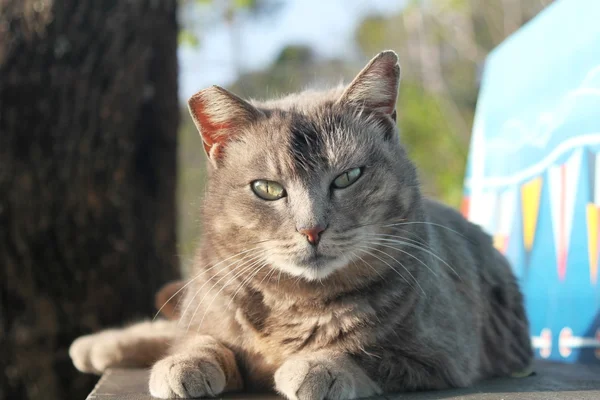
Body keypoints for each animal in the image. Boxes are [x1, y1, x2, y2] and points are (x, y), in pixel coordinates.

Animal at [70, 50, 536, 400]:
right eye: (267, 189)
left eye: (348, 177)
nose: (312, 229)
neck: (294, 301)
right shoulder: (212, 313)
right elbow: (202, 340)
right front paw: (185, 362)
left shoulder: (440, 355)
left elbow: (365, 351)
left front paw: (316, 365)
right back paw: (98, 344)